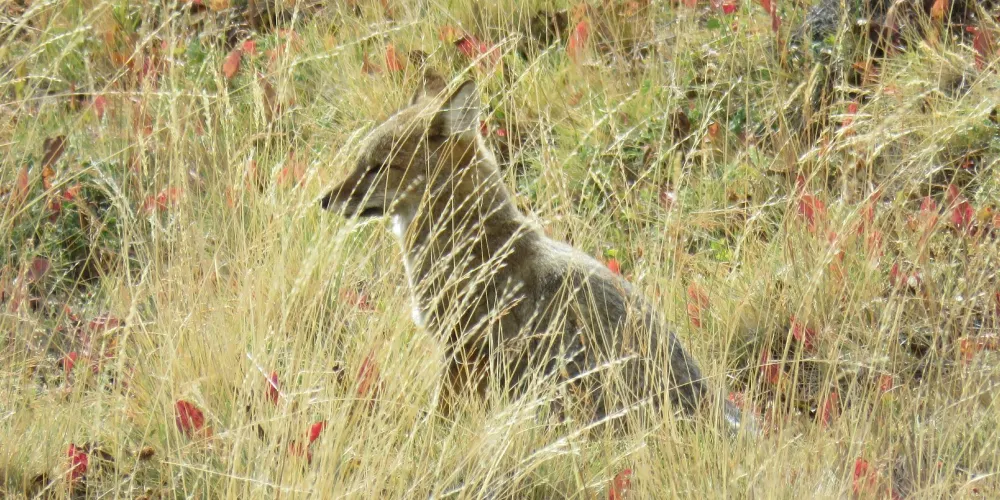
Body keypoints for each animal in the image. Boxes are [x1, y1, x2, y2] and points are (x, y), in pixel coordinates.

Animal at [320, 71, 746, 431]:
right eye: (360, 162)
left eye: (379, 167)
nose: (324, 200)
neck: (471, 243)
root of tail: (708, 404)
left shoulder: (465, 355)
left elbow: (438, 420)